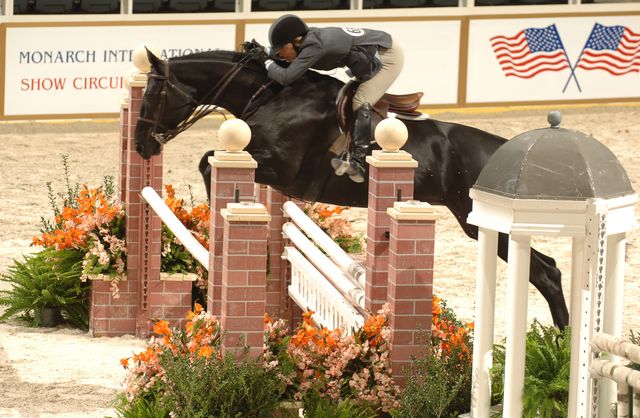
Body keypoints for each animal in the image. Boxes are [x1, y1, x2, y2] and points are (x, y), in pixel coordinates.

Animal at [132, 49, 568, 328]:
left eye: (156, 94)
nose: (140, 145)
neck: (275, 96)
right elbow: (209, 161)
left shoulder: (281, 165)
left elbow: (208, 161)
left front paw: (215, 224)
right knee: (547, 268)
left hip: (480, 224)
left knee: (546, 272)